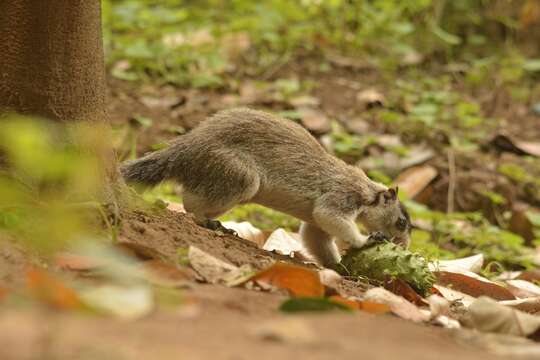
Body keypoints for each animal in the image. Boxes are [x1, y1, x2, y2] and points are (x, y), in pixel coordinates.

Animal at [121, 108, 410, 266]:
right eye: (402, 222)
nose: (405, 246)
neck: (367, 191)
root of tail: (185, 148)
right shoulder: (342, 196)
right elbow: (331, 216)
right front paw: (365, 240)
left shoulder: (315, 225)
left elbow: (316, 238)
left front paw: (337, 265)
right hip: (240, 178)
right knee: (190, 203)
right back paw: (209, 221)